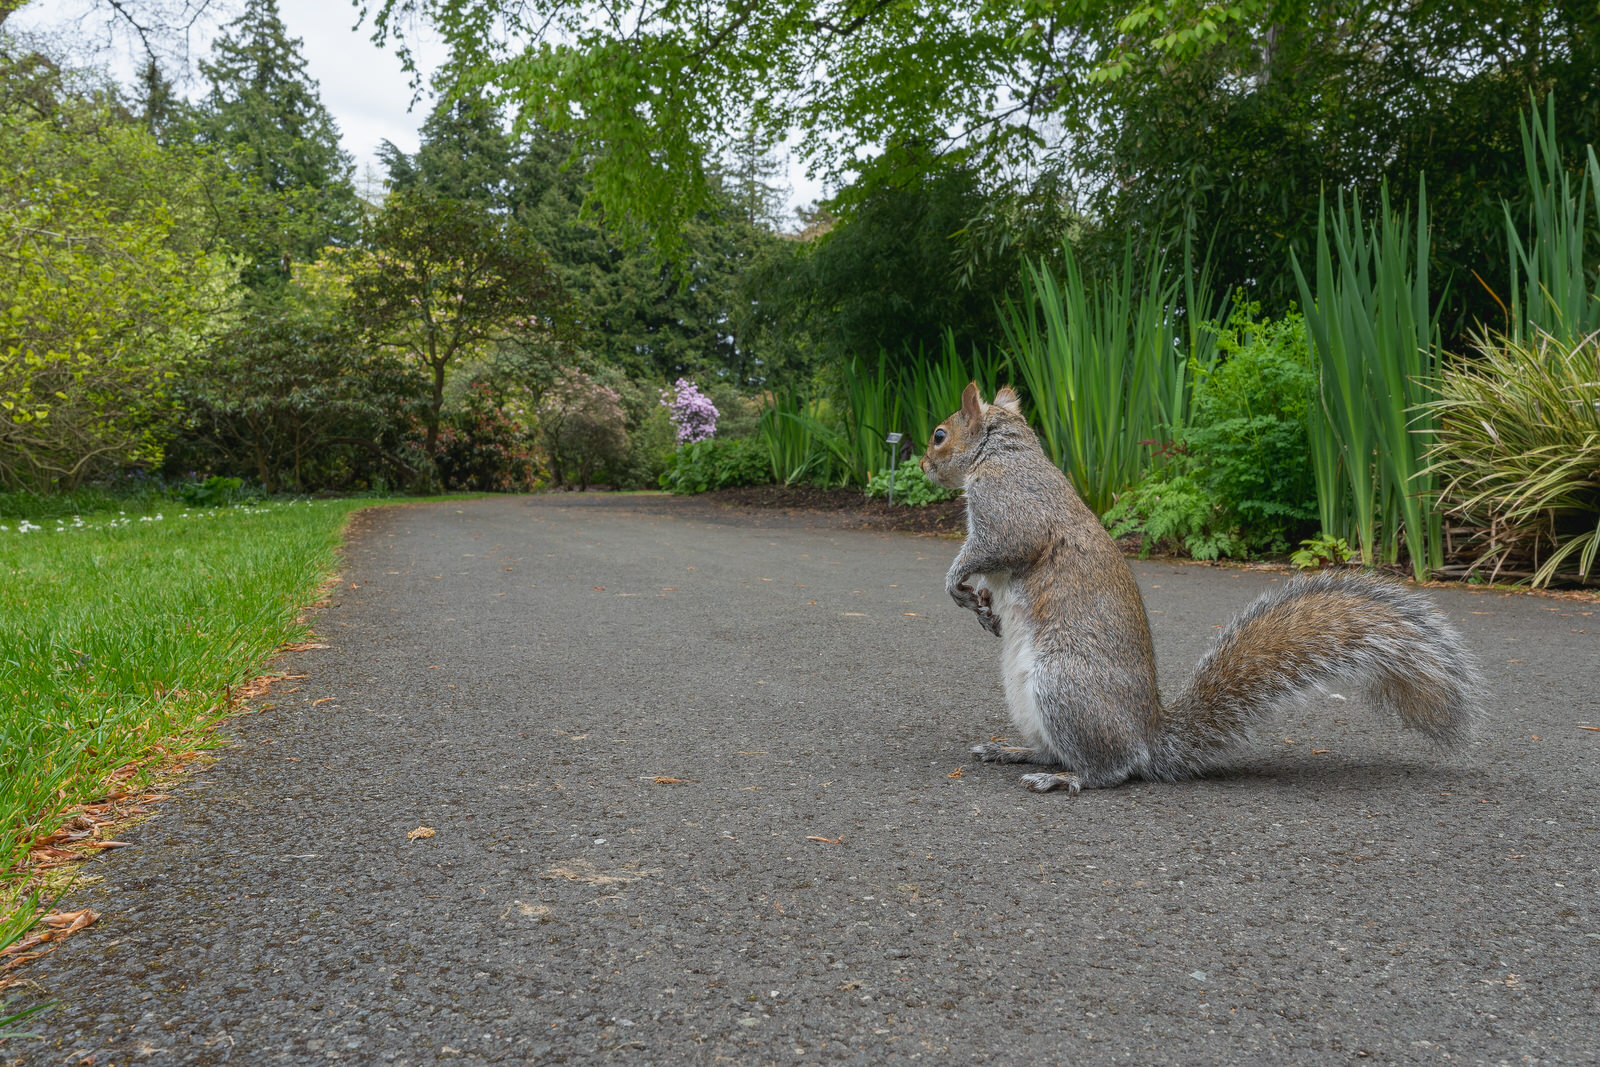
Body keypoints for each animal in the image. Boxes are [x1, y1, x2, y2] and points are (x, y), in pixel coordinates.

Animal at [928, 383, 1484, 793]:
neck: (1004, 453)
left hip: (1064, 686)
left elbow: (999, 546)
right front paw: (979, 604)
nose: (921, 465)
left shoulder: (1011, 507)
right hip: (1027, 696)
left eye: (939, 434)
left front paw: (957, 584)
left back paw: (1066, 779)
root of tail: (1150, 738)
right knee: (1055, 747)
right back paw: (1014, 750)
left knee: (1112, 769)